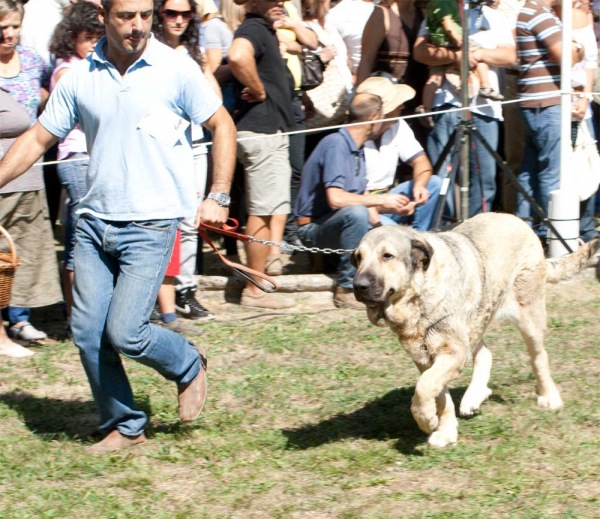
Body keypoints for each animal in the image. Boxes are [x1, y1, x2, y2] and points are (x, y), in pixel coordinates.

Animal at [354, 213, 596, 448]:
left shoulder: (453, 351)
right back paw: (475, 396)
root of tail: (520, 220)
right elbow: (439, 395)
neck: (415, 299)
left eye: (387, 256)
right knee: (485, 353)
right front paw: (446, 432)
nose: (358, 285)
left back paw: (549, 396)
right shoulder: (427, 358)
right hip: (476, 317)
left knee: (539, 357)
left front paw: (426, 420)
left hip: (528, 314)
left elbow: (424, 387)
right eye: (358, 257)